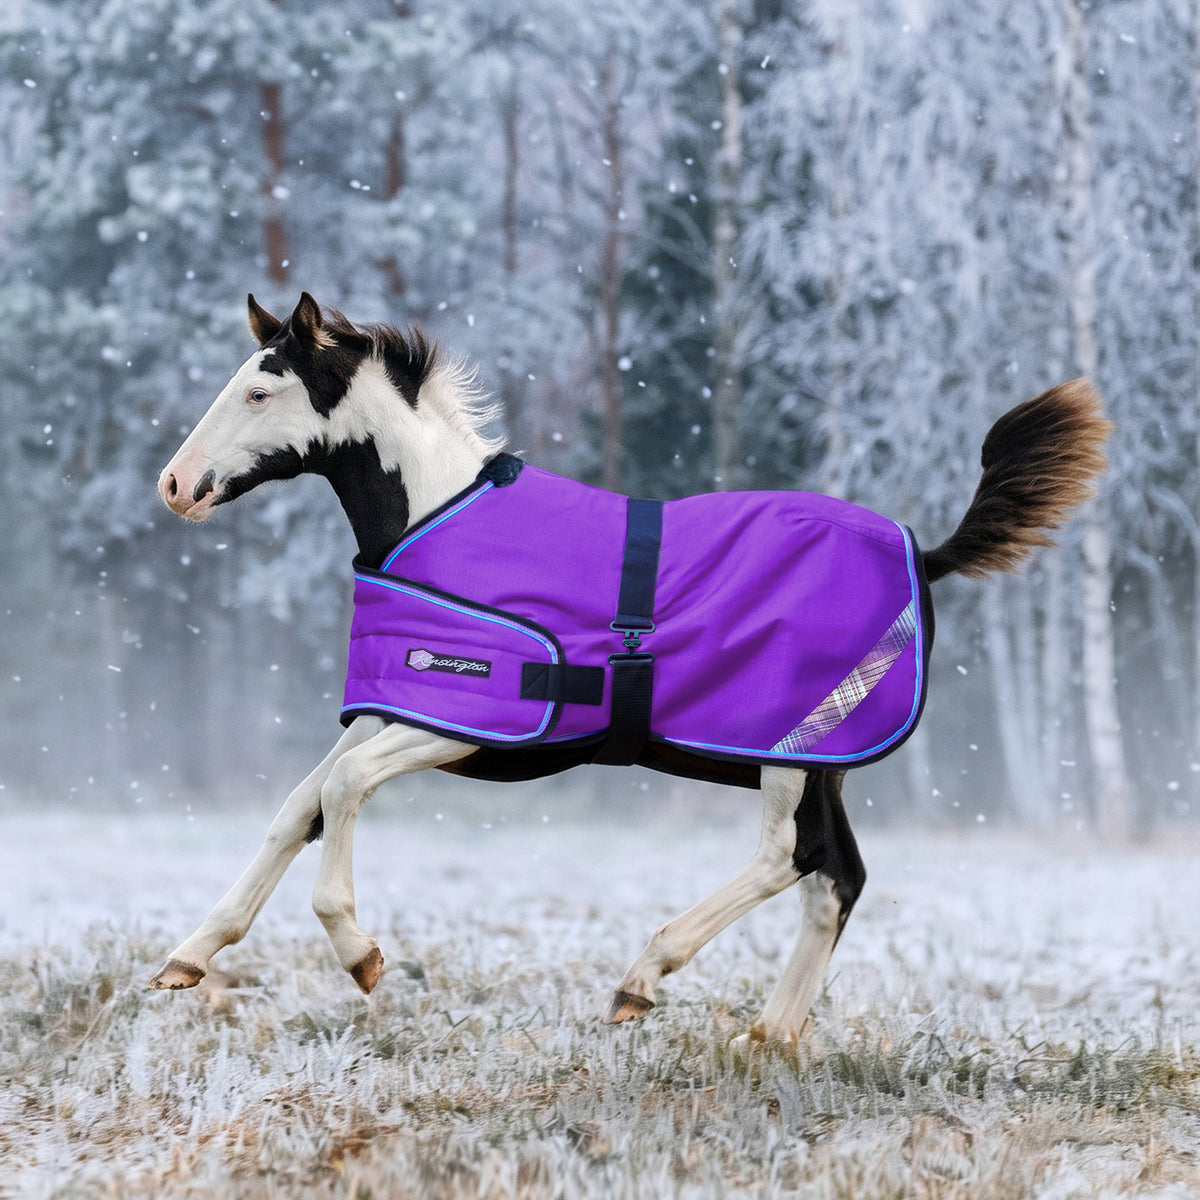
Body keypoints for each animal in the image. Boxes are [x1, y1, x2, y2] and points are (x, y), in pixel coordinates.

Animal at [150, 292, 1109, 1045]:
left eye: (261, 389)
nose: (175, 485)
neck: (433, 519)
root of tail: (926, 555)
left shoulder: (471, 723)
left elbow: (343, 790)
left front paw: (360, 955)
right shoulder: (400, 709)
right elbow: (299, 806)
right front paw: (189, 957)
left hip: (789, 751)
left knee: (785, 858)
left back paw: (644, 978)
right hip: (823, 758)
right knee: (836, 878)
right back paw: (768, 1037)